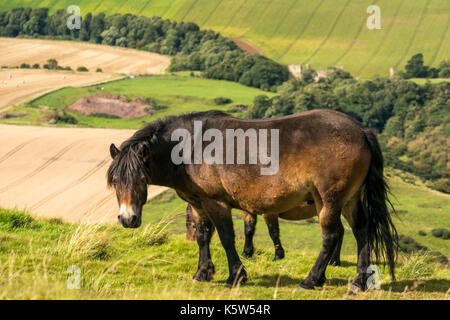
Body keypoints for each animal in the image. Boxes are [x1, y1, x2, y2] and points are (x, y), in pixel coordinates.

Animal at [108, 109, 398, 292]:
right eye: (115, 182)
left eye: (141, 179)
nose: (127, 219)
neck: (191, 147)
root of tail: (361, 130)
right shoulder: (199, 204)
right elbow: (203, 237)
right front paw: (203, 273)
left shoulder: (216, 203)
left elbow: (226, 238)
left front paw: (236, 275)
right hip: (349, 200)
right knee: (361, 232)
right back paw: (358, 282)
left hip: (328, 201)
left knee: (332, 236)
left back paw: (311, 279)